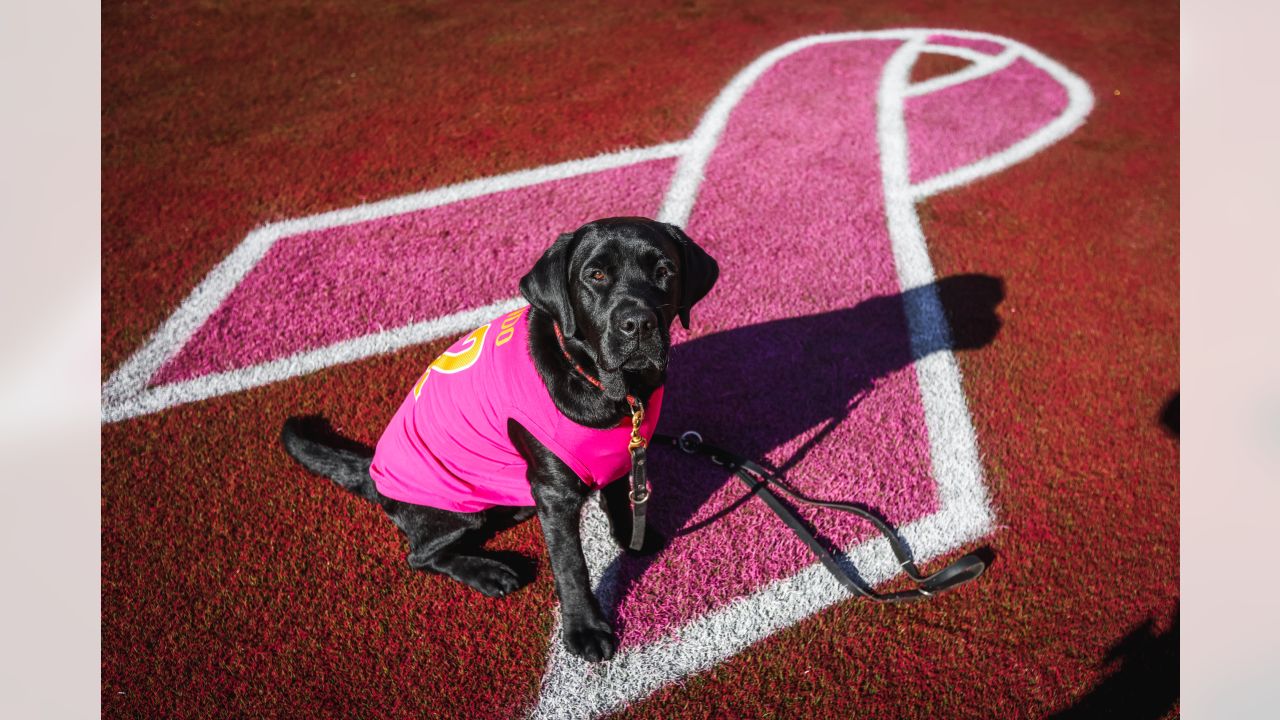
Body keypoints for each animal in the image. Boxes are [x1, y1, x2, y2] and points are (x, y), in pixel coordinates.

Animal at [282, 215, 721, 661]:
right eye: (595, 275)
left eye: (664, 271)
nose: (638, 324)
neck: (607, 388)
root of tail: (374, 472)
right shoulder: (554, 493)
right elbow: (571, 565)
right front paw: (584, 628)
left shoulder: (621, 453)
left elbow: (617, 495)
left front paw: (632, 536)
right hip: (456, 508)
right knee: (419, 555)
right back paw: (489, 572)